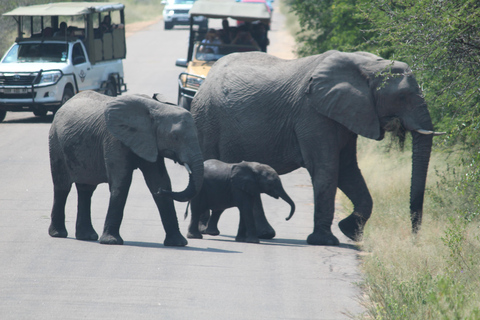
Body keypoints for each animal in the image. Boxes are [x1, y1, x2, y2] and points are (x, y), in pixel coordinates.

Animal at [49, 91, 203, 246]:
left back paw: (87, 236)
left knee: (86, 189)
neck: (156, 108)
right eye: (175, 137)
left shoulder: (150, 142)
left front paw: (178, 243)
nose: (160, 192)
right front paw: (111, 241)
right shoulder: (114, 139)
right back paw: (58, 234)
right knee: (62, 187)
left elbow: (159, 180)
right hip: (55, 142)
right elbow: (121, 182)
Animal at [190, 50, 442, 246]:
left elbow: (348, 169)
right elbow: (326, 168)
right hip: (206, 120)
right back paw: (206, 231)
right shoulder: (313, 114)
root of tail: (205, 80)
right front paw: (325, 241)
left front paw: (350, 230)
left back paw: (263, 234)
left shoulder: (347, 114)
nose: (414, 240)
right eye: (402, 96)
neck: (368, 64)